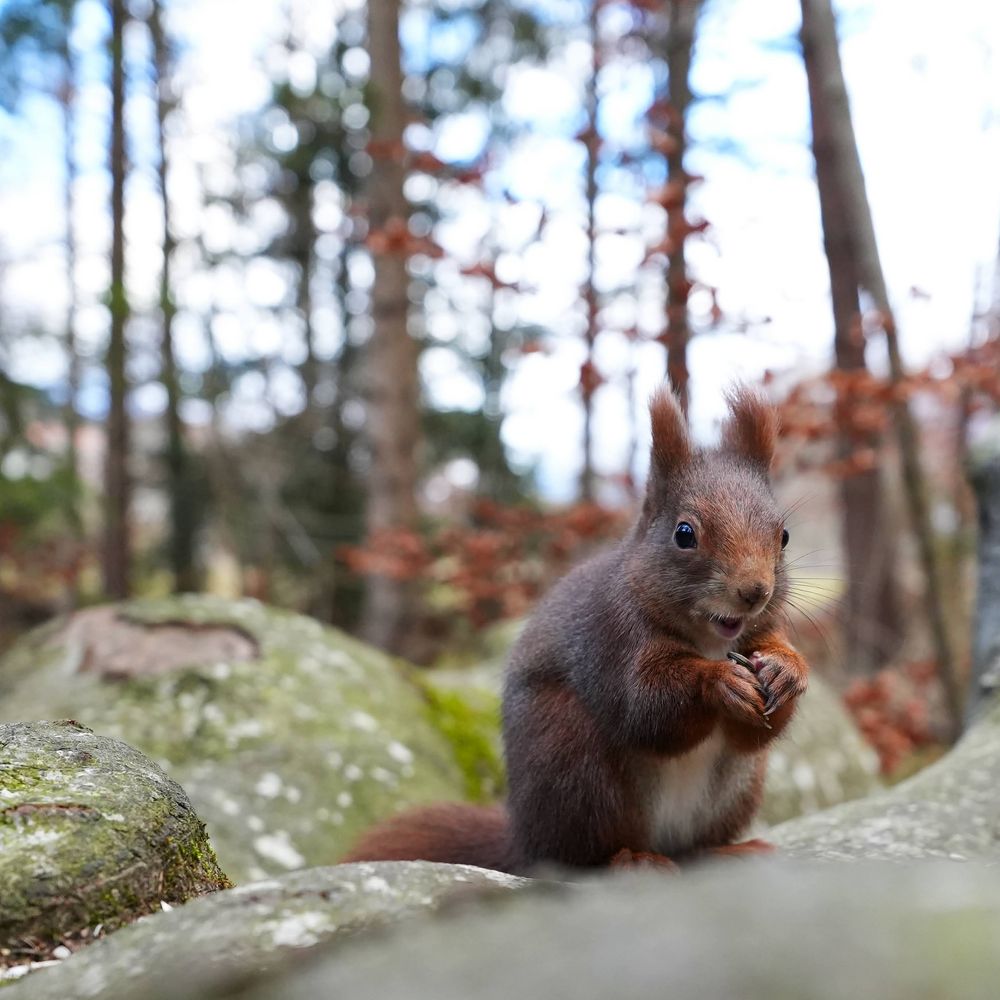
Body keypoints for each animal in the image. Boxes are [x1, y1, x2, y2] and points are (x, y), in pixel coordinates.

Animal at [343, 385, 809, 873]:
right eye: (684, 533)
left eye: (784, 536)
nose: (754, 591)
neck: (711, 640)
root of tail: (524, 839)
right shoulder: (612, 640)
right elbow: (647, 709)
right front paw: (718, 681)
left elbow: (754, 732)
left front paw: (787, 669)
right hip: (575, 765)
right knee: (579, 856)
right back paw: (631, 859)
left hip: (738, 785)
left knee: (695, 844)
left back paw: (728, 850)